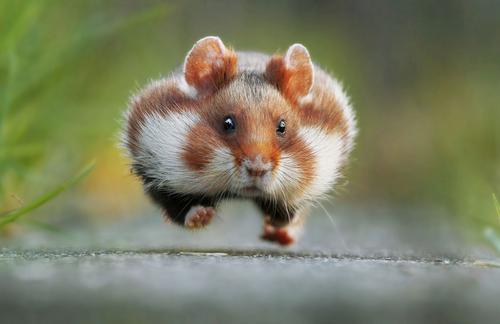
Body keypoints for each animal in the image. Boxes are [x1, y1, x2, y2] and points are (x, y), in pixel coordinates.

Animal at [120, 36, 356, 246]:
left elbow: (288, 212)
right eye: (228, 123)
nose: (257, 169)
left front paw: (275, 222)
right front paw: (202, 216)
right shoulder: (158, 173)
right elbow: (180, 209)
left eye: (282, 127)